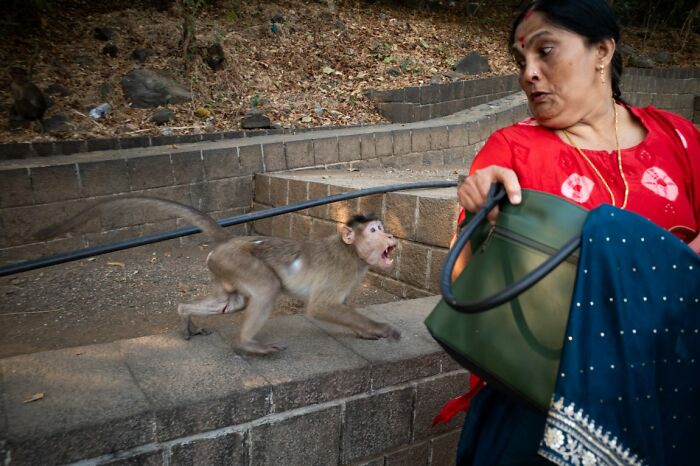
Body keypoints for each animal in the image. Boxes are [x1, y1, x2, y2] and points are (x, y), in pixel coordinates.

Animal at [36, 197, 401, 355]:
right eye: (374, 230)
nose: (390, 236)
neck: (354, 254)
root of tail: (231, 240)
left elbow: (341, 308)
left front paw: (366, 332)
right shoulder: (342, 269)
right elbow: (320, 308)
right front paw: (383, 329)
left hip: (225, 265)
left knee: (234, 301)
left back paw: (185, 314)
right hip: (237, 260)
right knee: (267, 288)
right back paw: (246, 344)